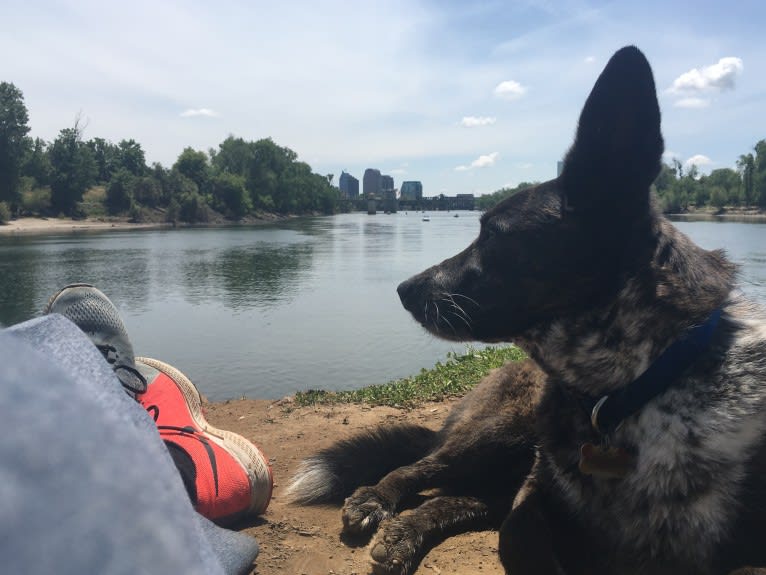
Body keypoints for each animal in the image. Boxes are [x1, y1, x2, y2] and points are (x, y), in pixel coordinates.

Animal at [288, 46, 766, 575]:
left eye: (494, 235)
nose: (403, 289)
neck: (628, 393)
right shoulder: (535, 492)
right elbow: (520, 539)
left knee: (457, 497)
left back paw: (403, 534)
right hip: (501, 429)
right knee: (419, 468)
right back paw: (375, 501)